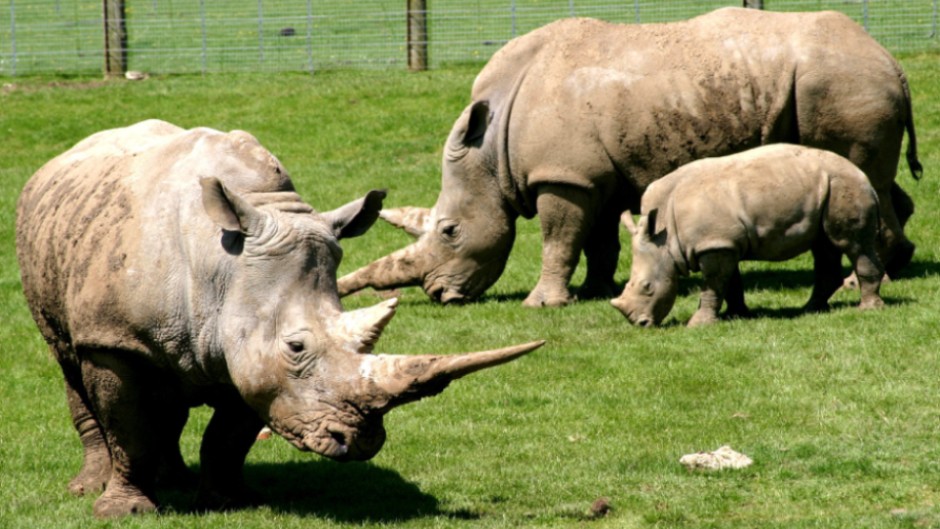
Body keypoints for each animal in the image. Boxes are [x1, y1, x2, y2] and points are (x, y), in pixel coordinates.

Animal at [14, 118, 544, 516]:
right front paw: (125, 510)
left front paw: (229, 501)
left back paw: (175, 480)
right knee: (68, 360)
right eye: (297, 347)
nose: (360, 441)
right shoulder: (115, 339)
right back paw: (89, 487)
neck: (223, 269)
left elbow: (230, 435)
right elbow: (128, 429)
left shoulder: (246, 354)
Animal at [338, 7, 916, 306]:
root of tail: (890, 58)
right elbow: (593, 241)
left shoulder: (562, 177)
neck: (490, 150)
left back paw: (862, 283)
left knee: (863, 169)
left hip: (842, 82)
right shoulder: (591, 177)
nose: (438, 294)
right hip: (846, 81)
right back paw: (898, 266)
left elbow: (558, 239)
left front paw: (544, 302)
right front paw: (595, 290)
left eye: (450, 231)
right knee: (881, 181)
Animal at [612, 144, 884, 326]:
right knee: (824, 245)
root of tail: (862, 174)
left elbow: (713, 284)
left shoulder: (715, 244)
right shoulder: (723, 242)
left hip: (844, 185)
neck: (664, 236)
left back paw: (867, 310)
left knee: (852, 244)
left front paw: (699, 324)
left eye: (647, 287)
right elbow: (728, 283)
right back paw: (811, 309)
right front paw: (735, 315)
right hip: (825, 188)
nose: (641, 324)